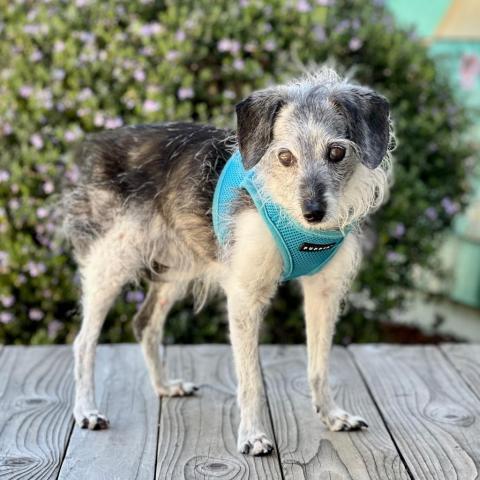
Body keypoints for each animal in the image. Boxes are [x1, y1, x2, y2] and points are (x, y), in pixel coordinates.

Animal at [62, 66, 394, 454]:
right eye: (285, 157)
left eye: (337, 152)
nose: (313, 214)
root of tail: (103, 142)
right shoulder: (245, 296)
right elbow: (251, 378)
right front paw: (251, 435)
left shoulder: (323, 292)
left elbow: (319, 365)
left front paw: (331, 415)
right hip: (111, 261)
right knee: (84, 341)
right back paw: (86, 410)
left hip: (176, 268)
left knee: (145, 323)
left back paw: (164, 387)